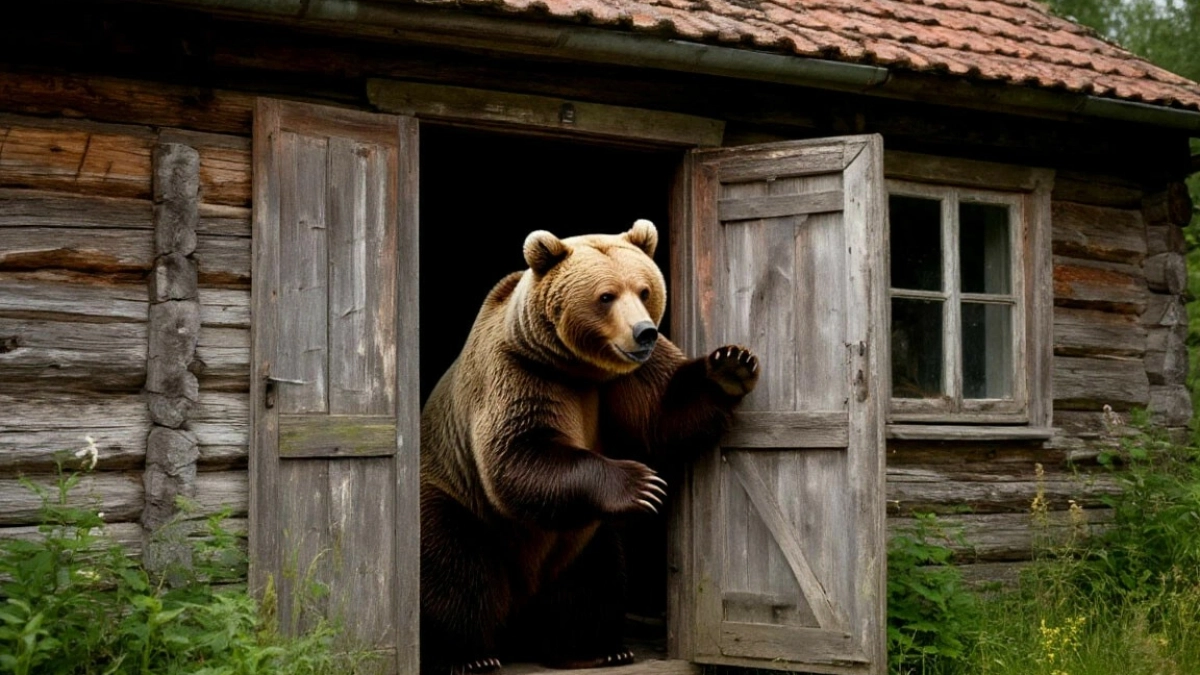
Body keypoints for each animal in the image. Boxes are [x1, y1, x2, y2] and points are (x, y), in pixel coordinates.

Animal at [420, 219, 758, 675]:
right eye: (606, 295)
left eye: (644, 290)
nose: (644, 332)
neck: (577, 369)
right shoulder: (519, 374)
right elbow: (517, 453)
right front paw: (643, 484)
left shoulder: (627, 377)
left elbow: (664, 410)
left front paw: (731, 364)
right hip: (457, 500)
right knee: (456, 569)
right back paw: (469, 656)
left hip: (581, 534)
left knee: (593, 577)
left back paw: (594, 648)